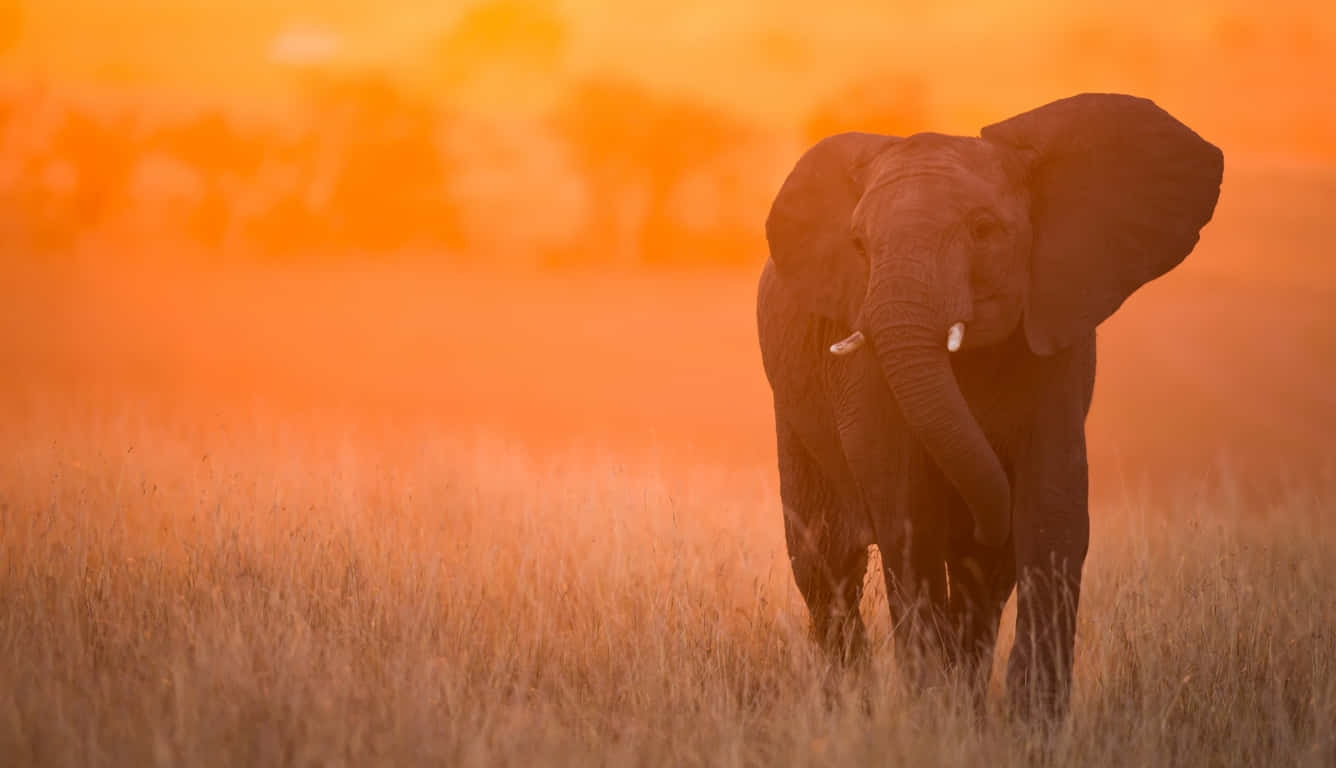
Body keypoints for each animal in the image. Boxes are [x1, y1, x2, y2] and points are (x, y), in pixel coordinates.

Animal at [753, 93, 1223, 715]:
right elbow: (906, 510)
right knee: (826, 565)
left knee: (980, 579)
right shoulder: (862, 353)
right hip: (793, 415)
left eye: (982, 229)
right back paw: (855, 704)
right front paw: (931, 711)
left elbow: (1052, 509)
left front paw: (1029, 722)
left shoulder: (1057, 340)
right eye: (858, 247)